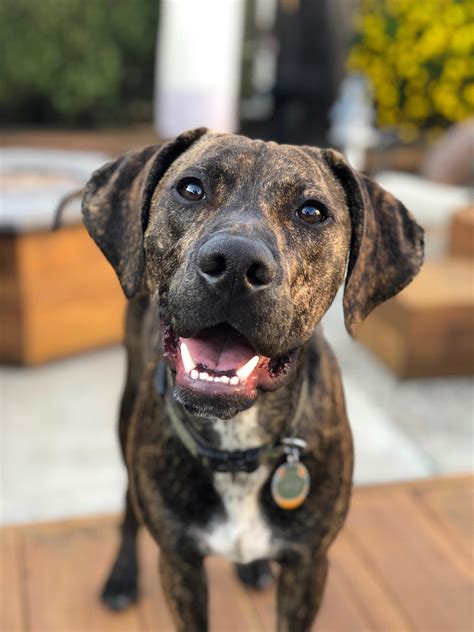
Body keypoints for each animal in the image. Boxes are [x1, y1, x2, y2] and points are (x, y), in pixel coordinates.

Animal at [80, 130, 422, 632]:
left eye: (311, 211)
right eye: (191, 188)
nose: (236, 264)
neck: (238, 443)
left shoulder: (308, 566)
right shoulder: (179, 563)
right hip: (125, 419)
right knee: (127, 503)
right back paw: (121, 576)